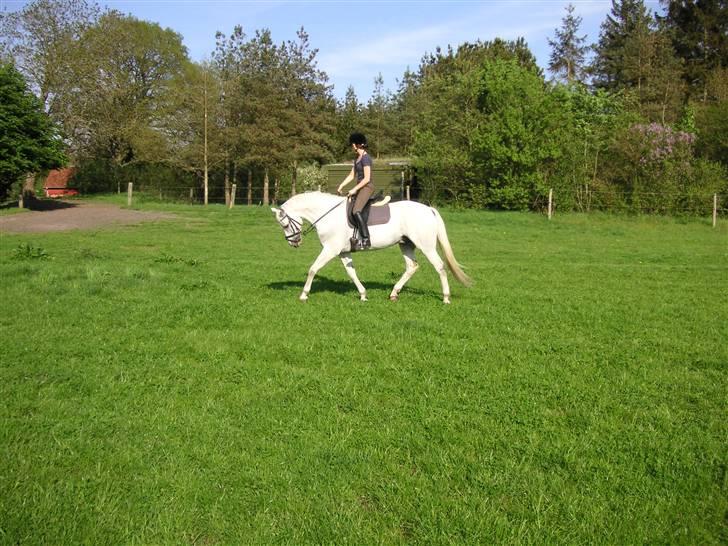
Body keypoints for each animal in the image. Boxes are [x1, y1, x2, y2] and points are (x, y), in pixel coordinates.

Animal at [272, 191, 472, 302]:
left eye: (284, 224)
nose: (294, 242)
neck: (327, 215)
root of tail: (428, 209)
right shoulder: (343, 252)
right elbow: (352, 273)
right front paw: (362, 294)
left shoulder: (330, 249)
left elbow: (313, 269)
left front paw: (304, 294)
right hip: (406, 244)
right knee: (412, 266)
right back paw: (394, 293)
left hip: (427, 246)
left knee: (440, 267)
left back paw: (445, 298)